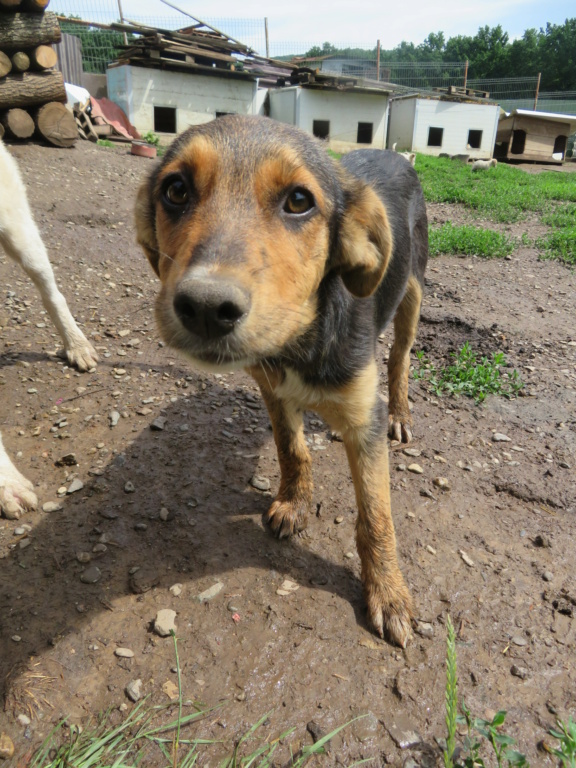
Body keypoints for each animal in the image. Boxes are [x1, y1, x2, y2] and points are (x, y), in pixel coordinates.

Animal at [135, 111, 428, 644]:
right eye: (176, 190)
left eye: (298, 201)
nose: (206, 307)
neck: (298, 339)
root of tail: (395, 154)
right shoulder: (272, 390)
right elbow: (292, 450)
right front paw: (294, 503)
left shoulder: (364, 416)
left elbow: (377, 515)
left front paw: (389, 593)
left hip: (412, 293)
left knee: (400, 357)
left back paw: (400, 412)